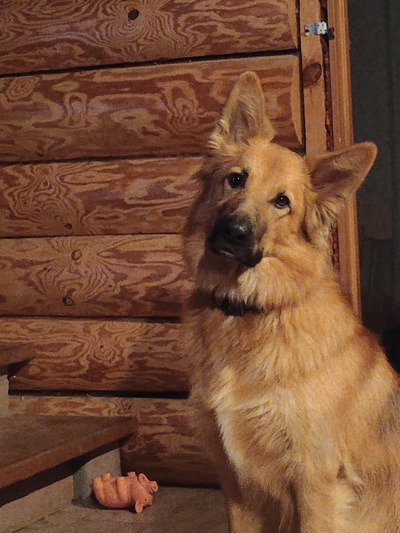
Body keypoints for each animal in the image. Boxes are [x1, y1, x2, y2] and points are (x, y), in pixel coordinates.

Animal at [183, 71, 400, 532]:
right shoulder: (238, 488)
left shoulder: (315, 481)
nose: (235, 232)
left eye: (282, 201)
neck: (250, 311)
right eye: (236, 179)